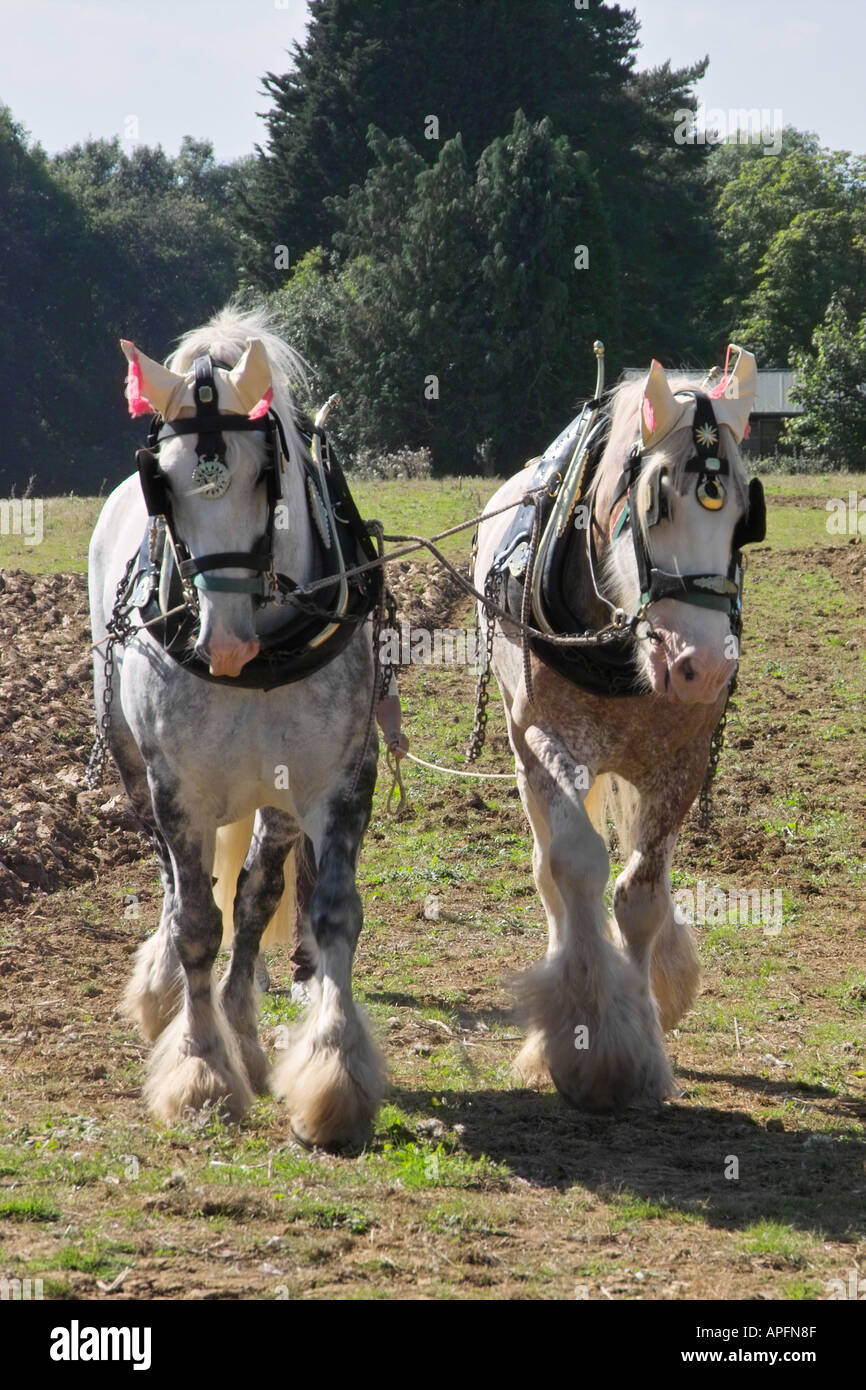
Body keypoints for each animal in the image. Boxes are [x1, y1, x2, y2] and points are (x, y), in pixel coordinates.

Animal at [89, 304, 396, 1149]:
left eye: (267, 473)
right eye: (162, 482)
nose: (224, 644)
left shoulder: (336, 783)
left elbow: (327, 914)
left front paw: (332, 1073)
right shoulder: (180, 791)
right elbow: (198, 921)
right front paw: (200, 1069)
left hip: (277, 802)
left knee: (258, 896)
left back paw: (246, 1032)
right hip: (135, 771)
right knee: (173, 884)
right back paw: (168, 990)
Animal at [473, 345, 765, 1109]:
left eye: (746, 512)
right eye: (655, 502)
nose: (702, 666)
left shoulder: (681, 766)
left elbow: (640, 896)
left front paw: (646, 1035)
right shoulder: (549, 744)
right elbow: (575, 865)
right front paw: (592, 1044)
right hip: (522, 746)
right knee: (550, 867)